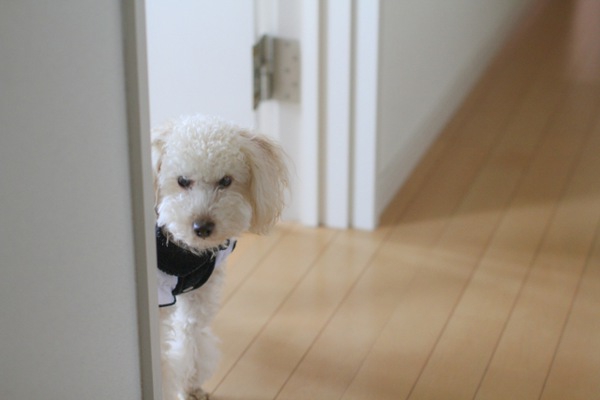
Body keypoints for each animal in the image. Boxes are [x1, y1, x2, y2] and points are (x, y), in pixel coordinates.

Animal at [151, 114, 290, 398]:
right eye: (182, 181)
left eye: (226, 181)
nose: (202, 227)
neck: (186, 252)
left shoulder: (199, 292)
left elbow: (191, 338)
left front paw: (191, 384)